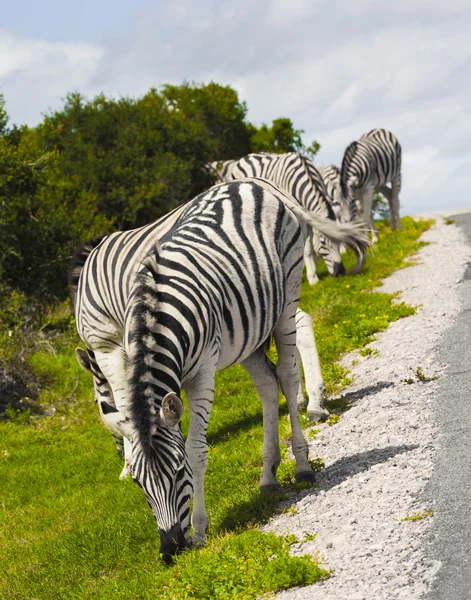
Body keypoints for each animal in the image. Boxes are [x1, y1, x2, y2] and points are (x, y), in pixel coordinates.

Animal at [70, 178, 368, 564]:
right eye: (140, 484)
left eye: (178, 472)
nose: (170, 550)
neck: (160, 316)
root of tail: (253, 183)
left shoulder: (189, 371)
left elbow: (196, 449)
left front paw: (199, 530)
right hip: (250, 328)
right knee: (268, 386)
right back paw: (268, 475)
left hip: (287, 294)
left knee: (287, 375)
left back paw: (303, 460)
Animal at [206, 154, 366, 288]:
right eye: (323, 242)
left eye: (339, 242)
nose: (341, 272)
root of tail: (246, 157)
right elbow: (307, 247)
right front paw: (313, 277)